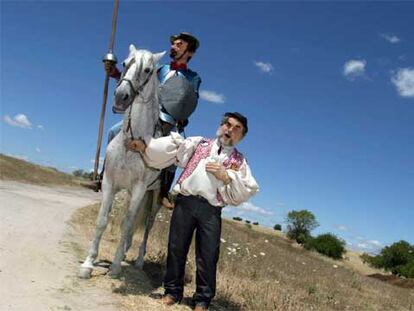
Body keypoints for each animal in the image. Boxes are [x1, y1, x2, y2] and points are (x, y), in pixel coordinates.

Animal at [79, 45, 165, 280]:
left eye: (147, 70)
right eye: (125, 63)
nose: (120, 97)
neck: (131, 144)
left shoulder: (139, 189)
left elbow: (126, 225)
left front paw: (116, 267)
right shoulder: (110, 182)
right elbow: (103, 221)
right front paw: (88, 264)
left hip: (153, 199)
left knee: (146, 228)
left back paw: (139, 261)